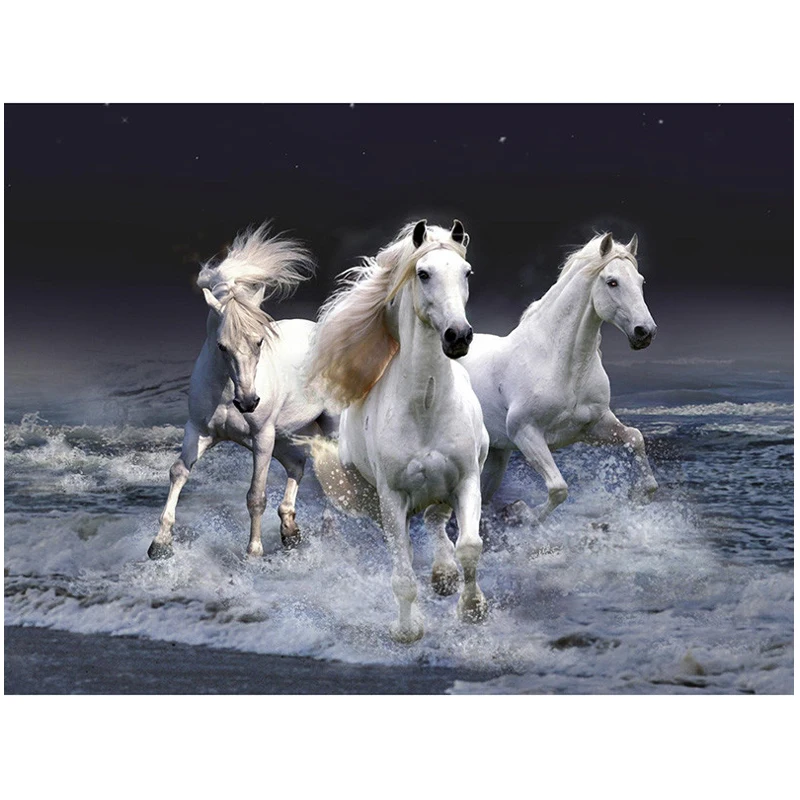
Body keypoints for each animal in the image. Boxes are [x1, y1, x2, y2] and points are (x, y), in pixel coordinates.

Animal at [147, 224, 337, 561]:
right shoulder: (199, 431)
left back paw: (326, 530)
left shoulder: (261, 437)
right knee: (297, 465)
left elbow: (255, 495)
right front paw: (160, 543)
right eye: (222, 346)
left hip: (325, 426)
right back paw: (290, 530)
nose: (248, 402)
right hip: (283, 436)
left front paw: (254, 552)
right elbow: (178, 472)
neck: (226, 392)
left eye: (259, 341)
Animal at [306, 220, 490, 643]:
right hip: (374, 498)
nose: (458, 336)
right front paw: (408, 630)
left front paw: (472, 609)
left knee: (437, 521)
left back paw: (444, 576)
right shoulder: (392, 497)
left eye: (467, 272)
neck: (426, 407)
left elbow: (469, 546)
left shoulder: (467, 479)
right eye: (423, 273)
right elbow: (403, 573)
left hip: (445, 487)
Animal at [461, 232, 658, 525]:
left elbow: (635, 438)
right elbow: (558, 488)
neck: (561, 365)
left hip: (496, 455)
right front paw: (522, 512)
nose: (645, 332)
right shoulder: (526, 433)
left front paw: (638, 495)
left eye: (640, 281)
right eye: (612, 282)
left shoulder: (592, 426)